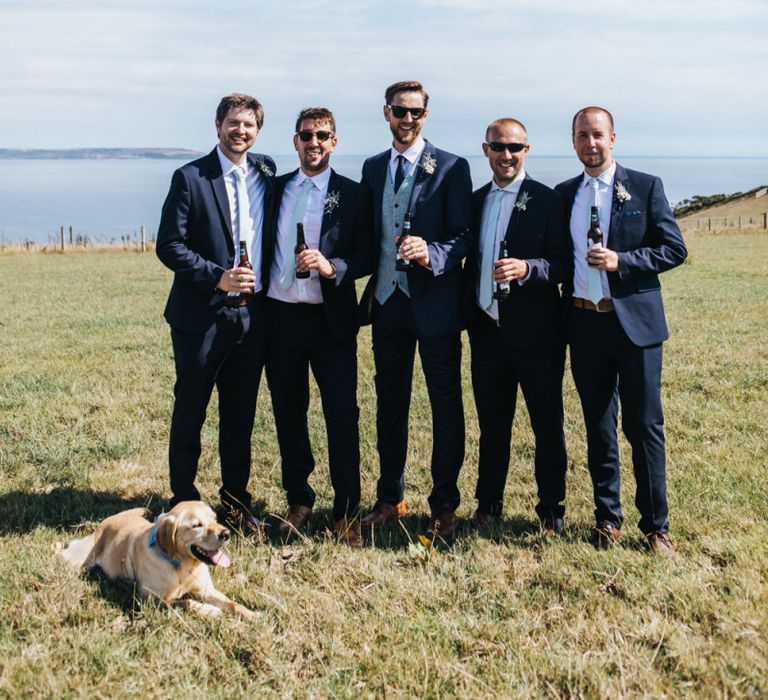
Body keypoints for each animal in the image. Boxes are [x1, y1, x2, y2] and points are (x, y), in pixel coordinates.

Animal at [60, 500, 256, 620]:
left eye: (214, 519)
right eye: (197, 525)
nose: (226, 533)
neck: (183, 568)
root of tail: (105, 521)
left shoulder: (206, 590)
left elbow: (232, 604)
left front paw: (253, 615)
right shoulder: (150, 601)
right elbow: (187, 602)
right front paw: (211, 611)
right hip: (76, 559)